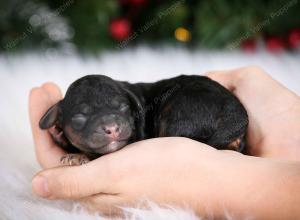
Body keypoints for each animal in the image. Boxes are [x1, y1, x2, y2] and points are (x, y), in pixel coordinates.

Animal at [39, 75, 248, 165]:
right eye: (80, 117)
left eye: (123, 107)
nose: (112, 128)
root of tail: (237, 115)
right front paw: (59, 134)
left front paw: (77, 155)